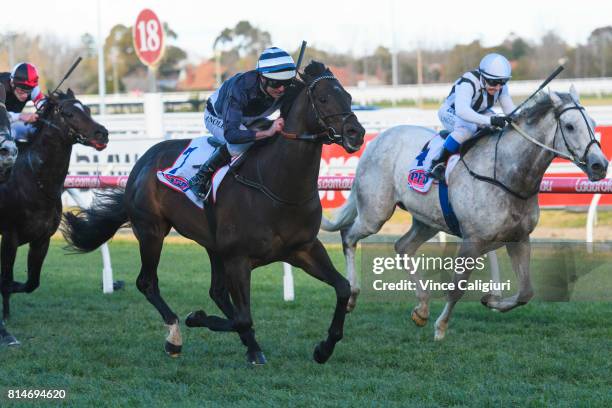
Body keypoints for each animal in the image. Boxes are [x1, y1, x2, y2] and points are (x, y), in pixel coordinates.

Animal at [0, 88, 109, 344]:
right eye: (69, 113)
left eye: (87, 109)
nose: (102, 133)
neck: (34, 181)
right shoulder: (9, 236)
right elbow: (6, 279)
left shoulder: (42, 239)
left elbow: (31, 282)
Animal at [63, 61, 364, 364]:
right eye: (323, 98)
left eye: (349, 97)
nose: (356, 133)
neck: (278, 185)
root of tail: (142, 162)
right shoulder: (238, 259)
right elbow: (243, 318)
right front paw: (196, 318)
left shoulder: (303, 248)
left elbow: (342, 288)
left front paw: (324, 348)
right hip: (152, 231)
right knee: (147, 282)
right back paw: (175, 337)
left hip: (212, 245)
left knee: (217, 292)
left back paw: (249, 344)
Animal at [320, 88, 608, 342]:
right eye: (570, 126)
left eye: (593, 123)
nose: (600, 165)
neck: (507, 174)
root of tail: (376, 140)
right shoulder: (472, 241)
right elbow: (457, 287)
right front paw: (441, 328)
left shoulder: (519, 238)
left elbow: (526, 292)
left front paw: (491, 299)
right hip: (375, 212)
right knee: (348, 236)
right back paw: (353, 294)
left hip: (427, 220)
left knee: (402, 247)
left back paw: (421, 308)